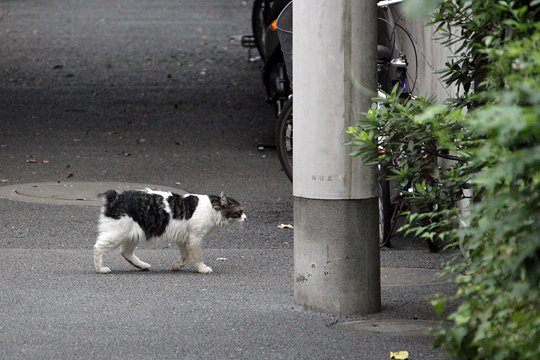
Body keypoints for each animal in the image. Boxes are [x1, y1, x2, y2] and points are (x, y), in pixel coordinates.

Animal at [93, 188, 245, 272]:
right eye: (240, 212)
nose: (245, 217)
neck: (213, 208)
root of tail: (116, 197)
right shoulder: (195, 238)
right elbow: (197, 257)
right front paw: (202, 268)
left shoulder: (183, 239)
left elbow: (185, 257)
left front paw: (177, 265)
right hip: (117, 234)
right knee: (97, 248)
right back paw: (100, 269)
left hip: (133, 235)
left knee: (125, 253)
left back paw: (142, 266)